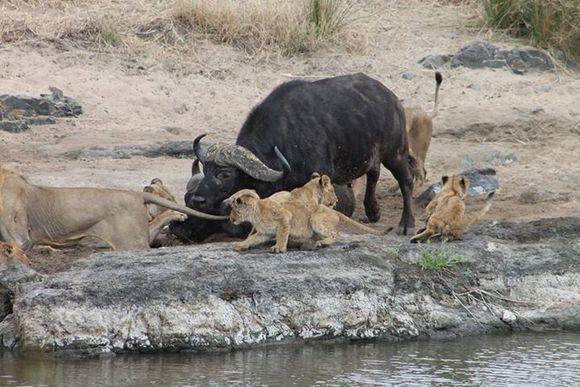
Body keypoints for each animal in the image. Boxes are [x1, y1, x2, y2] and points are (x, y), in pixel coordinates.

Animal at [170, 73, 414, 241]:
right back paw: (373, 212)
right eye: (206, 170)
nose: (198, 200)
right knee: (373, 173)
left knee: (406, 182)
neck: (286, 138)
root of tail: (391, 98)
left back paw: (406, 224)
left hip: (396, 152)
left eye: (225, 174)